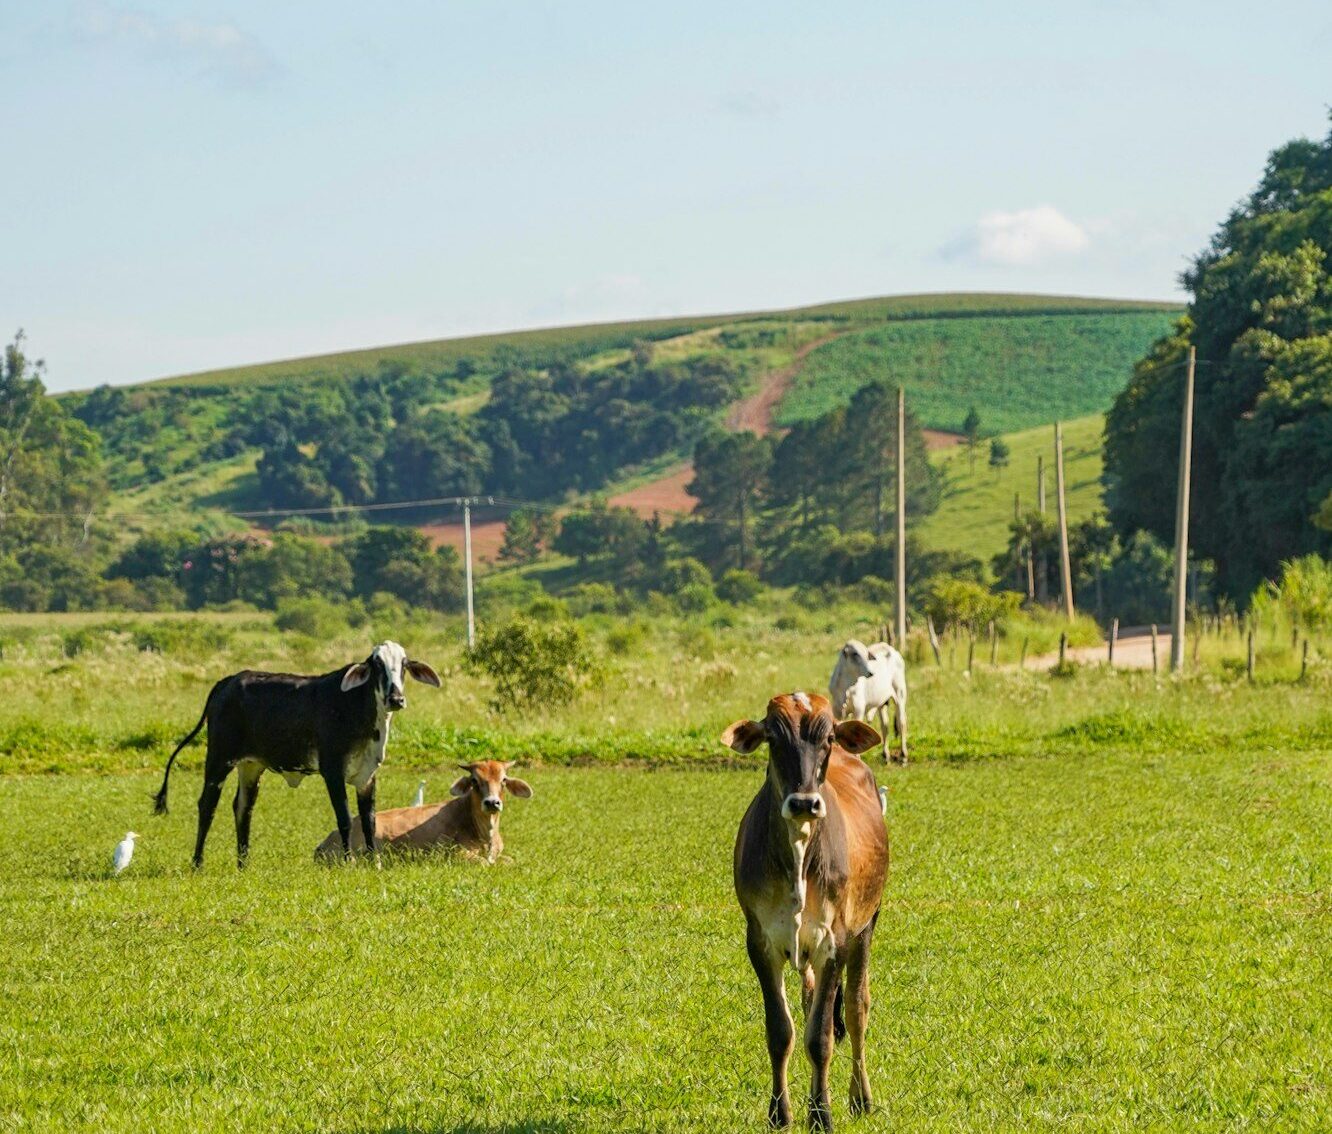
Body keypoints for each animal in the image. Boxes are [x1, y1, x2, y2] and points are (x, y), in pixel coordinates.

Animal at [151, 639, 442, 868]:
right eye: (377, 665)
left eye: (404, 665)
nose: (396, 699)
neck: (357, 707)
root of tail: (228, 681)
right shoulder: (332, 771)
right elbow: (345, 819)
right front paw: (349, 861)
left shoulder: (368, 776)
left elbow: (369, 821)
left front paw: (374, 862)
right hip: (219, 759)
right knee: (207, 805)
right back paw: (198, 862)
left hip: (251, 765)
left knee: (243, 807)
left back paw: (243, 864)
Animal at [314, 756, 532, 863]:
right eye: (474, 781)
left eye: (503, 780)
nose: (492, 803)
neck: (485, 835)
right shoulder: (454, 853)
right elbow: (485, 863)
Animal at [729, 687, 884, 1130]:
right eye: (773, 738)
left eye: (827, 739)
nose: (803, 803)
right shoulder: (759, 941)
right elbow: (781, 1031)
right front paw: (780, 1113)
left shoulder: (835, 942)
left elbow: (820, 1037)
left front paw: (821, 1114)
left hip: (866, 927)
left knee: (856, 1009)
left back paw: (860, 1098)